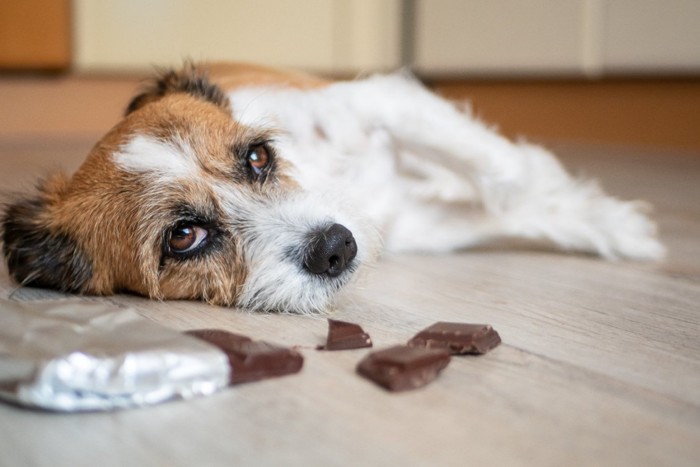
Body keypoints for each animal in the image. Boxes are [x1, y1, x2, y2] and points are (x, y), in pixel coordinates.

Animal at [0, 60, 664, 312]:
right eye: (183, 236)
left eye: (259, 157)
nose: (337, 247)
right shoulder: (419, 226)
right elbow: (504, 205)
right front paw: (601, 220)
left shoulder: (381, 101)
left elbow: (506, 175)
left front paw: (609, 221)